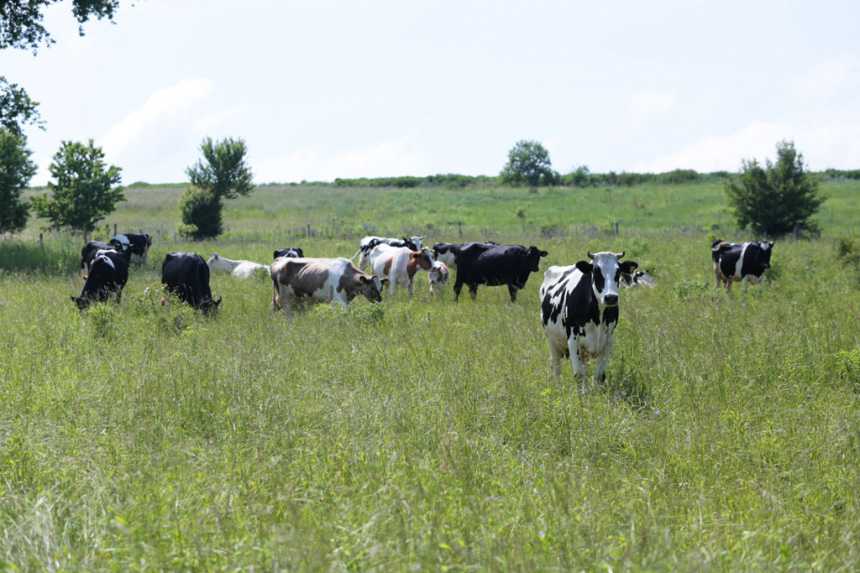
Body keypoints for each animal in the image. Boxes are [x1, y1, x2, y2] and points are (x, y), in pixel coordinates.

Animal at [536, 250, 640, 388]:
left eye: (618, 272)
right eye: (596, 272)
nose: (611, 297)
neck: (598, 316)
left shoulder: (608, 340)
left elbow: (600, 375)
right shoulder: (573, 339)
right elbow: (579, 376)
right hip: (551, 339)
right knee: (556, 367)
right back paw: (558, 388)